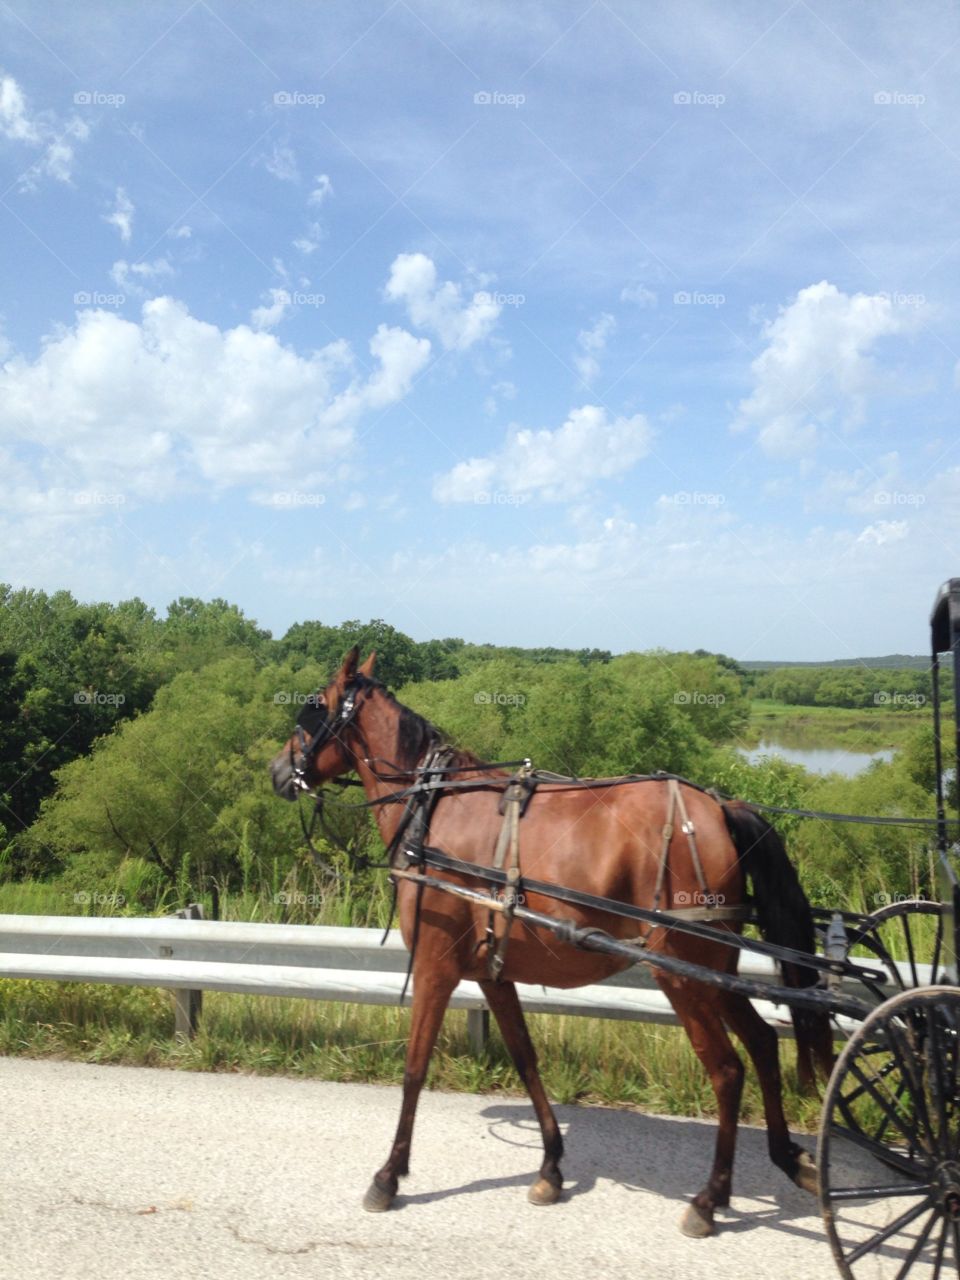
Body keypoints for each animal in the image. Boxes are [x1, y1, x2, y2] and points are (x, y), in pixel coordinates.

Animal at [271, 650, 834, 1239]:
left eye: (313, 707)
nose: (279, 770)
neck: (435, 807)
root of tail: (721, 808)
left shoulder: (434, 964)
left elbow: (414, 1068)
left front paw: (389, 1175)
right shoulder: (492, 973)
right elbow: (525, 1059)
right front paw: (550, 1167)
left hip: (680, 972)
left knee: (727, 1071)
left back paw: (709, 1198)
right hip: (713, 970)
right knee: (763, 1044)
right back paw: (786, 1156)